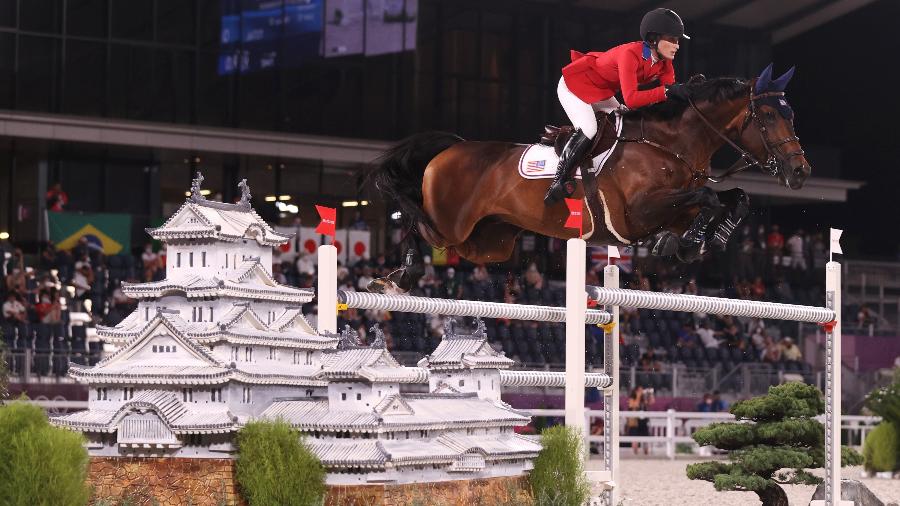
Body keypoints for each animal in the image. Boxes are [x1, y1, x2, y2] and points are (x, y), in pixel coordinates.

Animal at [366, 64, 808, 292]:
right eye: (770, 116)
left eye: (791, 115)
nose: (800, 171)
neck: (669, 143)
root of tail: (450, 149)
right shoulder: (639, 212)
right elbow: (710, 198)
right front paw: (683, 244)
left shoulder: (672, 206)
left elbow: (733, 198)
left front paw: (697, 241)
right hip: (450, 225)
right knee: (415, 220)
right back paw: (398, 274)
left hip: (489, 243)